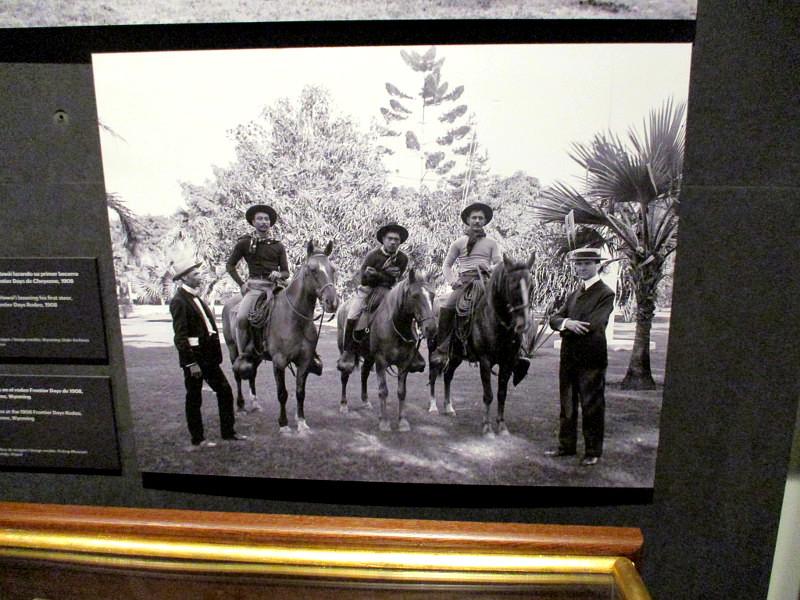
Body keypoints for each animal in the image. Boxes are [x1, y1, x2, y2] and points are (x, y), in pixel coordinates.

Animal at [222, 240, 339, 433]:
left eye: (333, 269)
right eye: (312, 269)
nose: (332, 302)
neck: (295, 318)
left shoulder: (304, 361)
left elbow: (300, 392)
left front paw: (301, 422)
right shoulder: (279, 361)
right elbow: (282, 393)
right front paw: (283, 424)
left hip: (256, 355)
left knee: (252, 374)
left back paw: (255, 403)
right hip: (233, 349)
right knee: (238, 374)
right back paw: (241, 406)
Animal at [336, 270, 437, 432]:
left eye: (432, 295)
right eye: (415, 296)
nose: (431, 328)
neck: (394, 323)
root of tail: (342, 308)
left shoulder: (404, 363)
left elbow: (401, 392)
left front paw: (403, 422)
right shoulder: (381, 361)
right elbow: (383, 391)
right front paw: (384, 422)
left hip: (369, 357)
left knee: (364, 373)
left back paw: (366, 401)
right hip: (346, 352)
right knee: (344, 375)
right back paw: (344, 405)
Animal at [428, 253, 535, 437]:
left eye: (532, 287)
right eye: (512, 286)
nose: (524, 324)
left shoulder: (507, 362)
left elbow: (501, 394)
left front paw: (502, 426)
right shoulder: (485, 361)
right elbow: (488, 394)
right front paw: (487, 427)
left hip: (455, 356)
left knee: (448, 376)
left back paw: (449, 407)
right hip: (434, 350)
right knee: (433, 374)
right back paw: (433, 406)